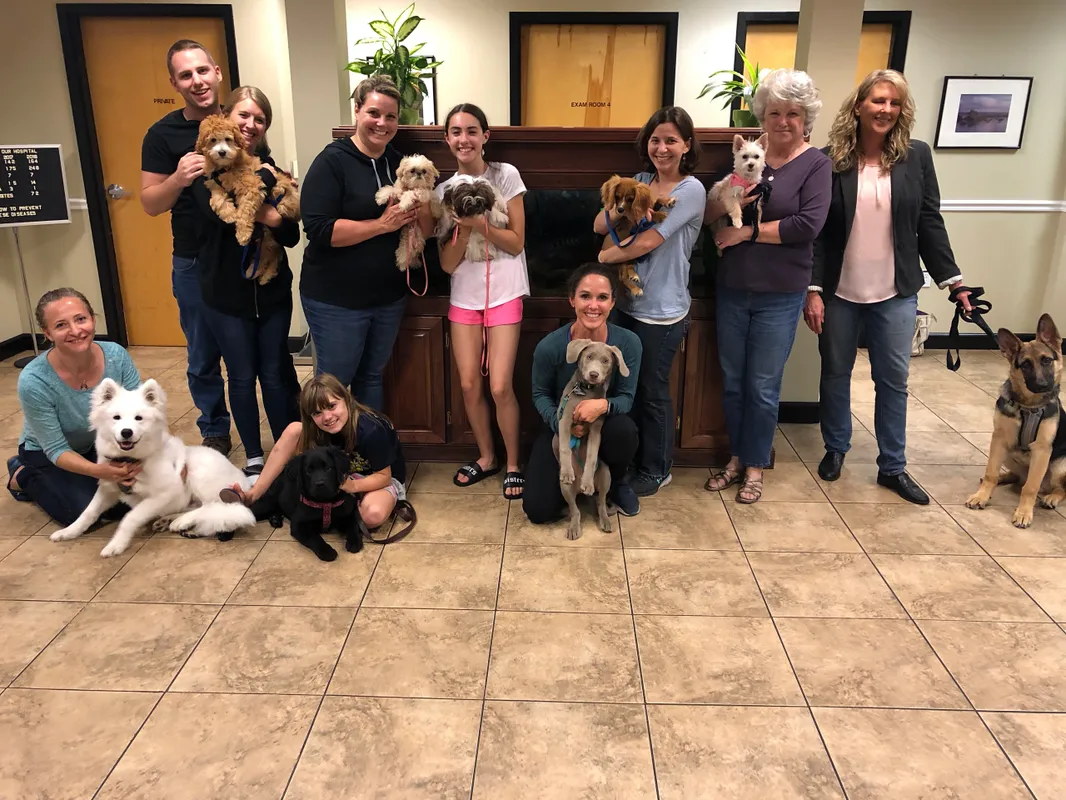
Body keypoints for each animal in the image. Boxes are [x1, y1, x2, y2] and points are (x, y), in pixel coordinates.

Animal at [49, 379, 257, 557]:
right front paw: (68, 532)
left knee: (215, 506)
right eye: (116, 417)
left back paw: (182, 521)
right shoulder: (109, 488)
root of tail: (245, 482)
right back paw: (169, 520)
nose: (126, 432)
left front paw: (116, 544)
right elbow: (88, 512)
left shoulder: (164, 492)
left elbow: (131, 517)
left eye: (138, 418)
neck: (131, 460)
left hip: (200, 473)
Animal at [196, 114, 301, 285]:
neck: (225, 168)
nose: (222, 152)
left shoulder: (251, 186)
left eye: (228, 139)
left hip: (281, 209)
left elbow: (245, 210)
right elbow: (216, 200)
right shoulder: (213, 184)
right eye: (213, 140)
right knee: (269, 254)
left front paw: (243, 234)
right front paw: (229, 214)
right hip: (265, 238)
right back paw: (257, 272)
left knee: (272, 253)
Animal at [552, 339, 630, 540]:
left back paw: (604, 520)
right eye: (589, 356)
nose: (594, 375)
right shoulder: (564, 420)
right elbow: (564, 447)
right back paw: (574, 527)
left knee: (600, 502)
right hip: (565, 489)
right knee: (575, 510)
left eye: (606, 361)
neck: (585, 392)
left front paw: (587, 481)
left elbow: (591, 455)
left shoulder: (596, 428)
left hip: (606, 476)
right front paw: (566, 471)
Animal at [965, 314, 1066, 528]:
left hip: (1059, 466)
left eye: (1047, 360)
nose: (1042, 385)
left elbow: (1030, 487)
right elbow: (991, 473)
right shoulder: (999, 439)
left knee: (1058, 487)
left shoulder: (1042, 450)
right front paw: (981, 497)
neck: (1029, 407)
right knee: (1018, 477)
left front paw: (1023, 513)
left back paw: (1051, 497)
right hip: (1008, 453)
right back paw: (1005, 477)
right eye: (1025, 364)